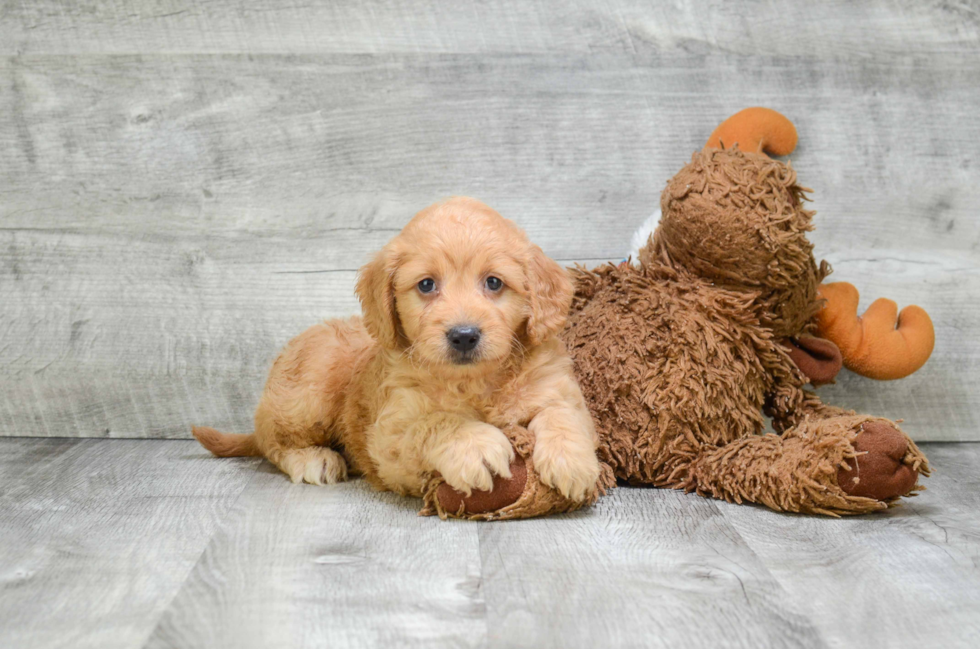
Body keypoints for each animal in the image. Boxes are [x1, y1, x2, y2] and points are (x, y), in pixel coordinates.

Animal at [193, 197, 596, 502]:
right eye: (427, 285)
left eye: (494, 283)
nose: (464, 335)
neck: (473, 381)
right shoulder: (389, 437)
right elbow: (434, 423)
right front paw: (474, 444)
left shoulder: (555, 386)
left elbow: (564, 415)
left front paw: (572, 459)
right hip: (306, 393)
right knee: (270, 440)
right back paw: (313, 459)